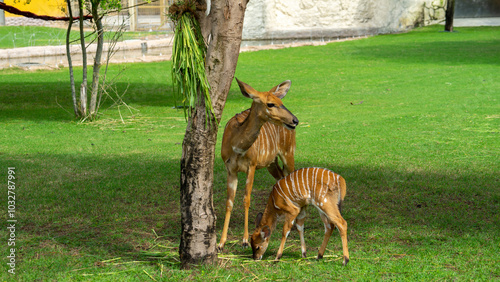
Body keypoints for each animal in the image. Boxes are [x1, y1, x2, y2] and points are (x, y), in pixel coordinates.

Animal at [218, 78, 296, 250]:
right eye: (270, 104)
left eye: (281, 102)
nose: (295, 120)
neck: (236, 145)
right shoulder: (230, 169)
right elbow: (229, 201)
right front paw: (221, 242)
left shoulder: (251, 166)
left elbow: (246, 199)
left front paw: (245, 240)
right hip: (271, 163)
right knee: (281, 179)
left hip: (288, 153)